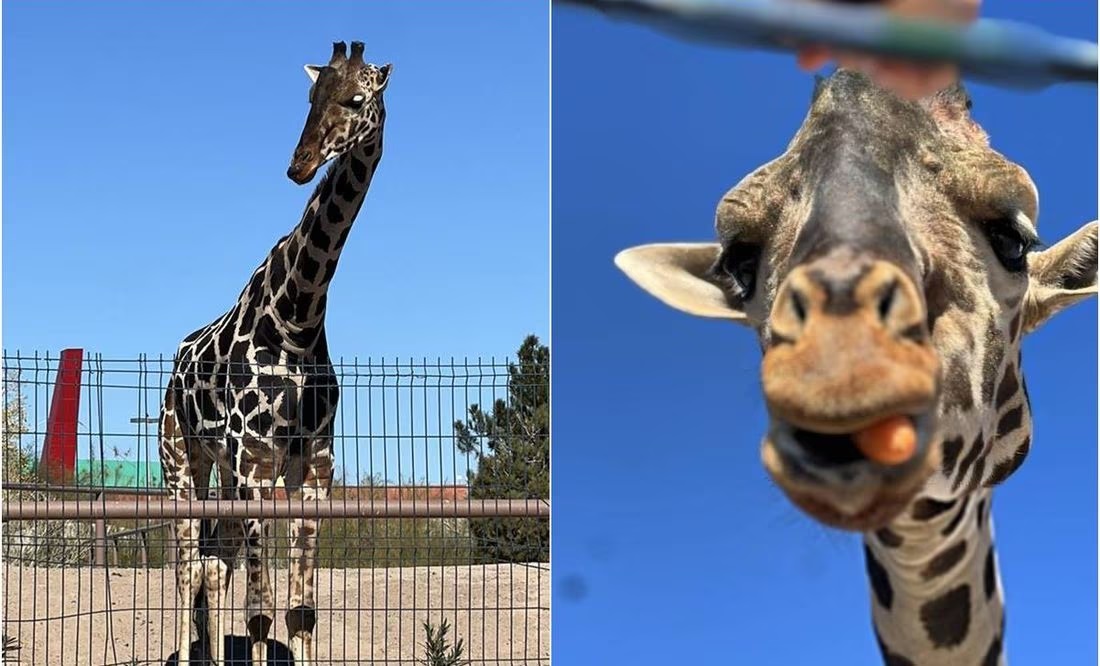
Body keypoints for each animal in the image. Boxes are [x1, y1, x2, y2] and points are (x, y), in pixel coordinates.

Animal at [158, 40, 391, 666]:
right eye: (310, 97)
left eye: (355, 98)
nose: (299, 165)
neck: (298, 319)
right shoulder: (256, 468)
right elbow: (260, 613)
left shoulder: (313, 472)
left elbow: (300, 612)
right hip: (182, 463)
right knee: (186, 568)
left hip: (222, 473)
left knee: (213, 565)